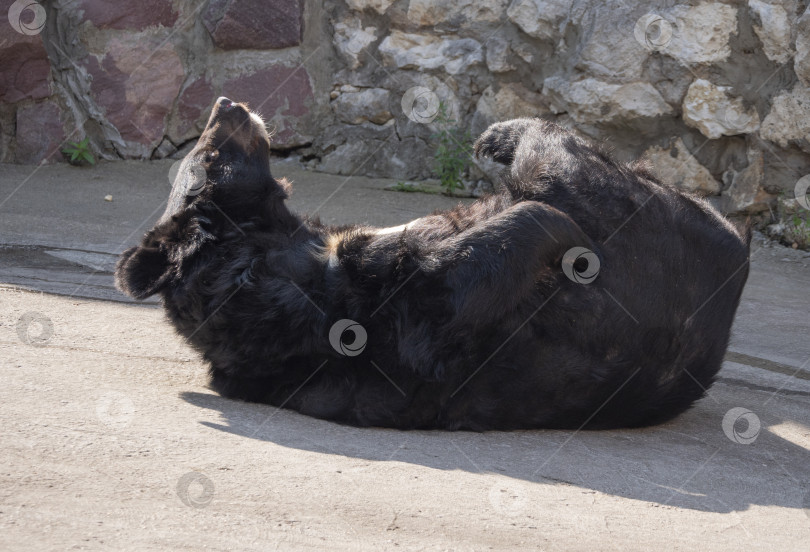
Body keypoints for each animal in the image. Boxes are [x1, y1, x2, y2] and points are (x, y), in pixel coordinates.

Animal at [115, 97, 752, 430]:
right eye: (208, 152)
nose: (228, 104)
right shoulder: (371, 306)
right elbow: (455, 283)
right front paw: (555, 228)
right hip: (655, 221)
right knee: (559, 163)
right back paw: (507, 140)